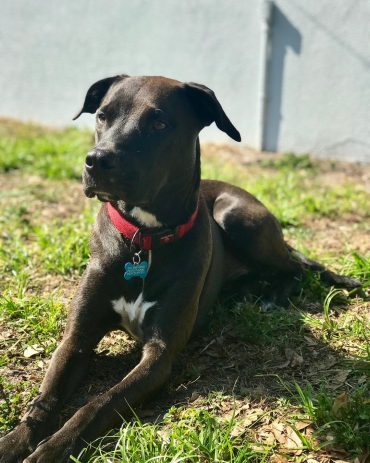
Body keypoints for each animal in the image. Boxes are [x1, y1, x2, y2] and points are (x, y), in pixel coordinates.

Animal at [0, 74, 358, 462]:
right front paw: (14, 441)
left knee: (295, 267)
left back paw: (272, 296)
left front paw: (53, 448)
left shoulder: (160, 356)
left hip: (237, 216)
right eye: (102, 115)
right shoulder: (77, 339)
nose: (96, 161)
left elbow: (99, 404)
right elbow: (45, 399)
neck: (143, 240)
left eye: (159, 123)